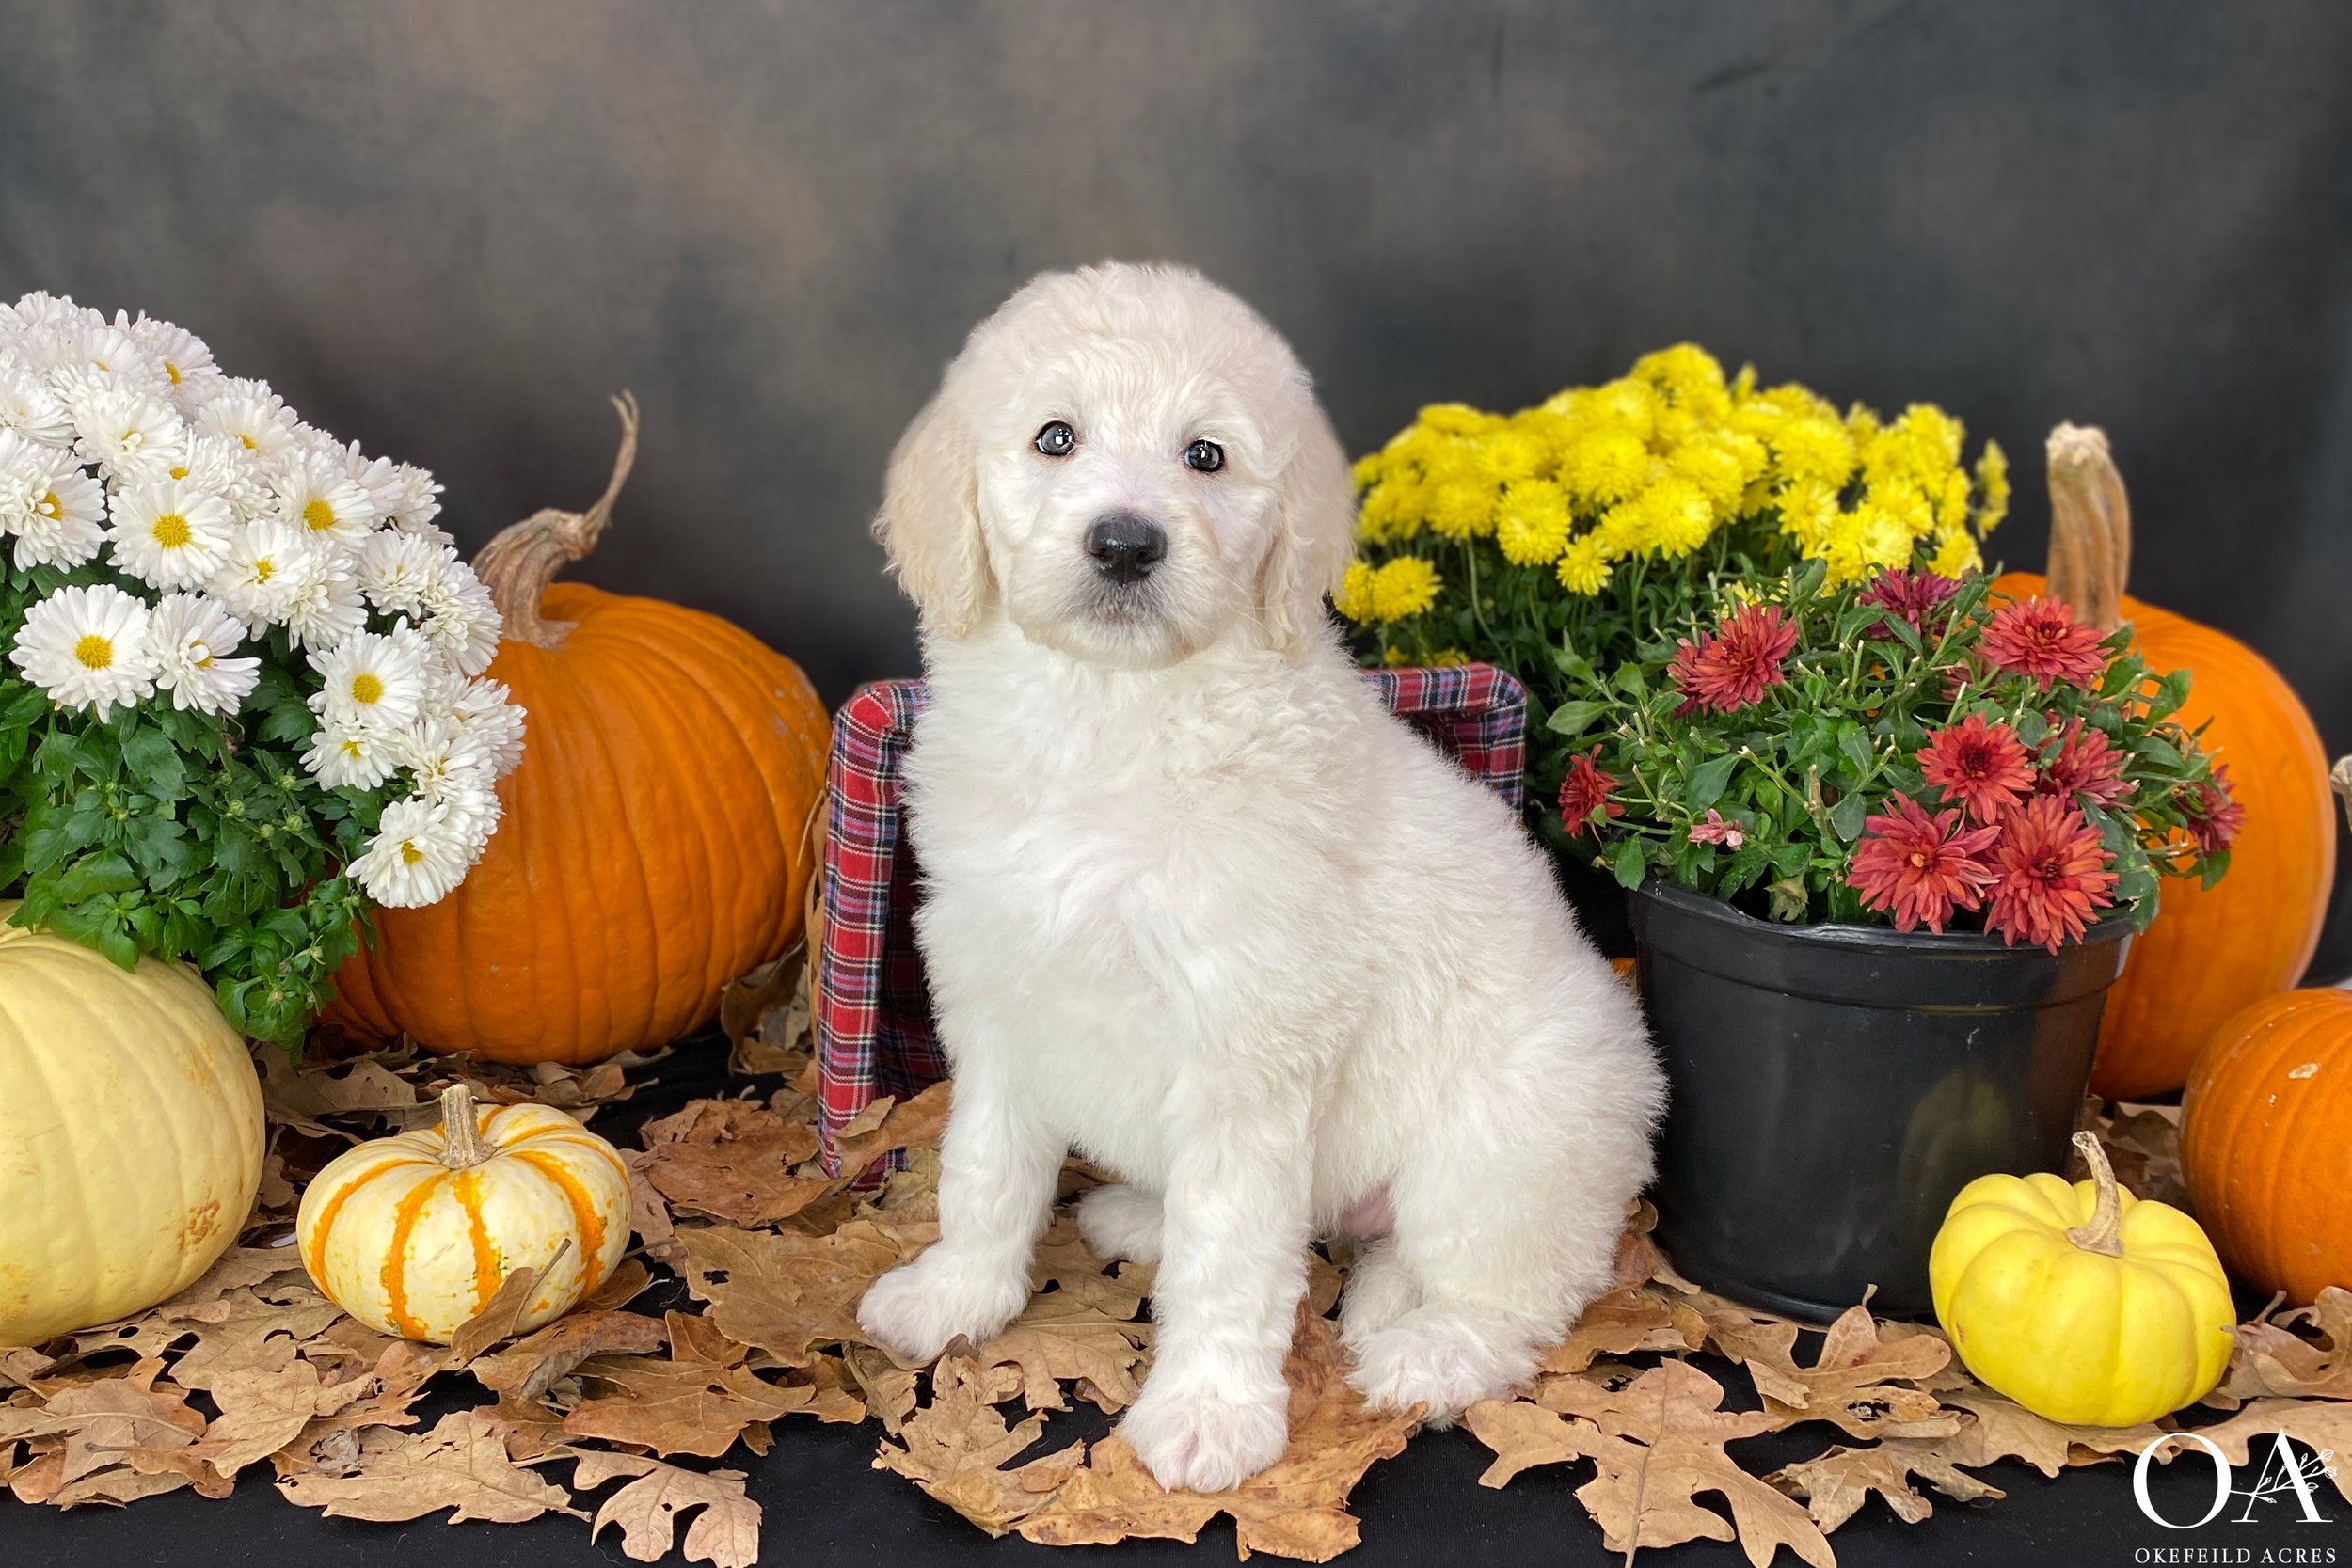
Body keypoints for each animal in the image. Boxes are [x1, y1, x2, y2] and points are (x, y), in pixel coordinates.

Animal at [856, 262, 1665, 1495]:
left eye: (1206, 456)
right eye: (1055, 438)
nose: (1125, 543)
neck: (1112, 713)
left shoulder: (1251, 1040)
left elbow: (1230, 1252)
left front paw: (1207, 1412)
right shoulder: (998, 995)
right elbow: (984, 1171)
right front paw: (955, 1295)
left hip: (1505, 1142)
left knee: (1516, 1288)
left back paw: (1429, 1350)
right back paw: (1144, 1214)